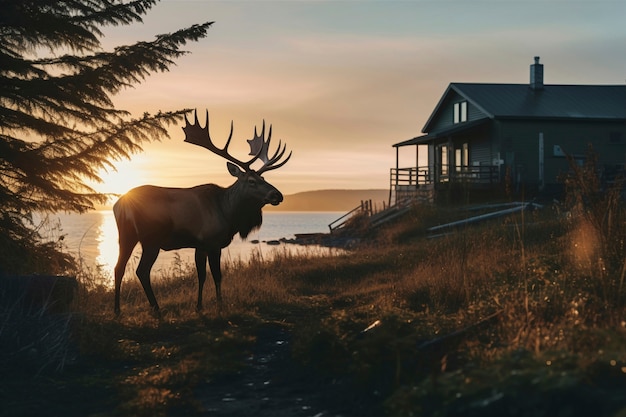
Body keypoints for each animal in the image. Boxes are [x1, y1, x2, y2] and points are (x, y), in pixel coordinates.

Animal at [111, 109, 290, 312]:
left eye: (264, 179)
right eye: (252, 181)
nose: (277, 195)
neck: (229, 214)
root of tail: (121, 205)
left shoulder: (200, 245)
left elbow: (202, 275)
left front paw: (200, 306)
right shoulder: (211, 242)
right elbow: (215, 275)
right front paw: (218, 305)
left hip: (126, 235)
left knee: (118, 267)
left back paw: (118, 310)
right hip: (151, 238)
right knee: (141, 270)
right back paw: (156, 310)